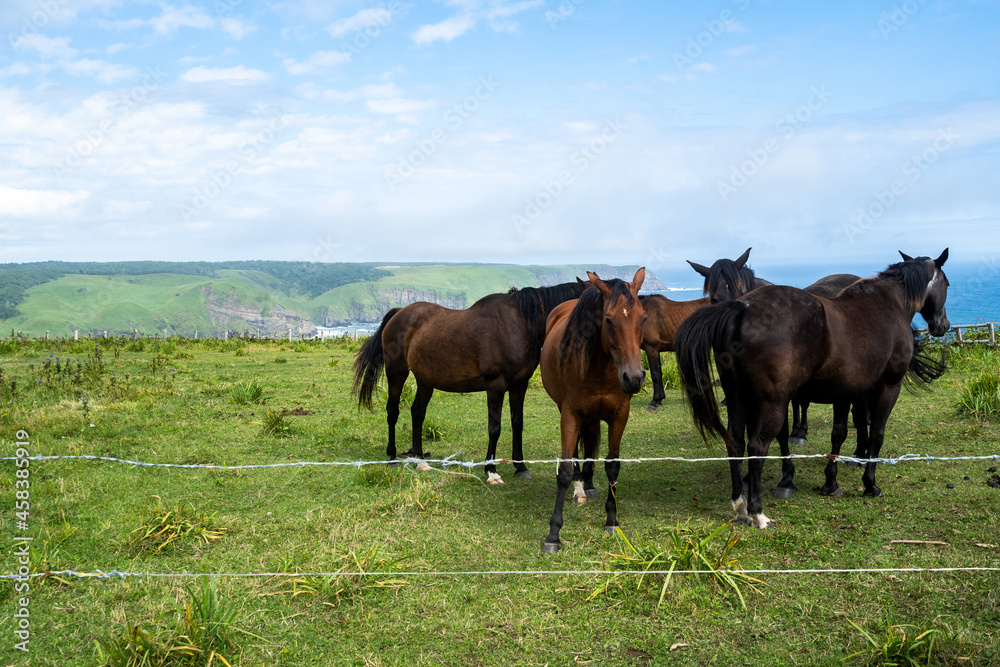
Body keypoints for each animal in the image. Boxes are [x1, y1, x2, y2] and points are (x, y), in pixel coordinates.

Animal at [352, 282, 584, 486]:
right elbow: (495, 428)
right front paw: (491, 471)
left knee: (417, 413)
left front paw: (521, 467)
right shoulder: (495, 386)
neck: (518, 324)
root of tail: (400, 312)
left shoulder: (520, 385)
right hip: (396, 373)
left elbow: (518, 424)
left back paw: (420, 460)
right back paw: (392, 457)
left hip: (425, 380)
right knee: (392, 411)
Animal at [544, 268, 644, 556]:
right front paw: (554, 534)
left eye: (643, 318)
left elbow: (613, 465)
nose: (634, 378)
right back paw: (580, 485)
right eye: (608, 320)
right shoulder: (570, 414)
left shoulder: (620, 414)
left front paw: (612, 519)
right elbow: (565, 470)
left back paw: (587, 484)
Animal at [676, 250, 948, 528]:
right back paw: (757, 512)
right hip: (772, 404)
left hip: (737, 397)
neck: (888, 303)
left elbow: (839, 434)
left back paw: (741, 506)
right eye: (947, 284)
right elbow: (877, 435)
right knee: (757, 447)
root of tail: (743, 307)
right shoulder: (887, 388)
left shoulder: (844, 391)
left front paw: (831, 482)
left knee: (736, 444)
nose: (942, 325)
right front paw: (870, 484)